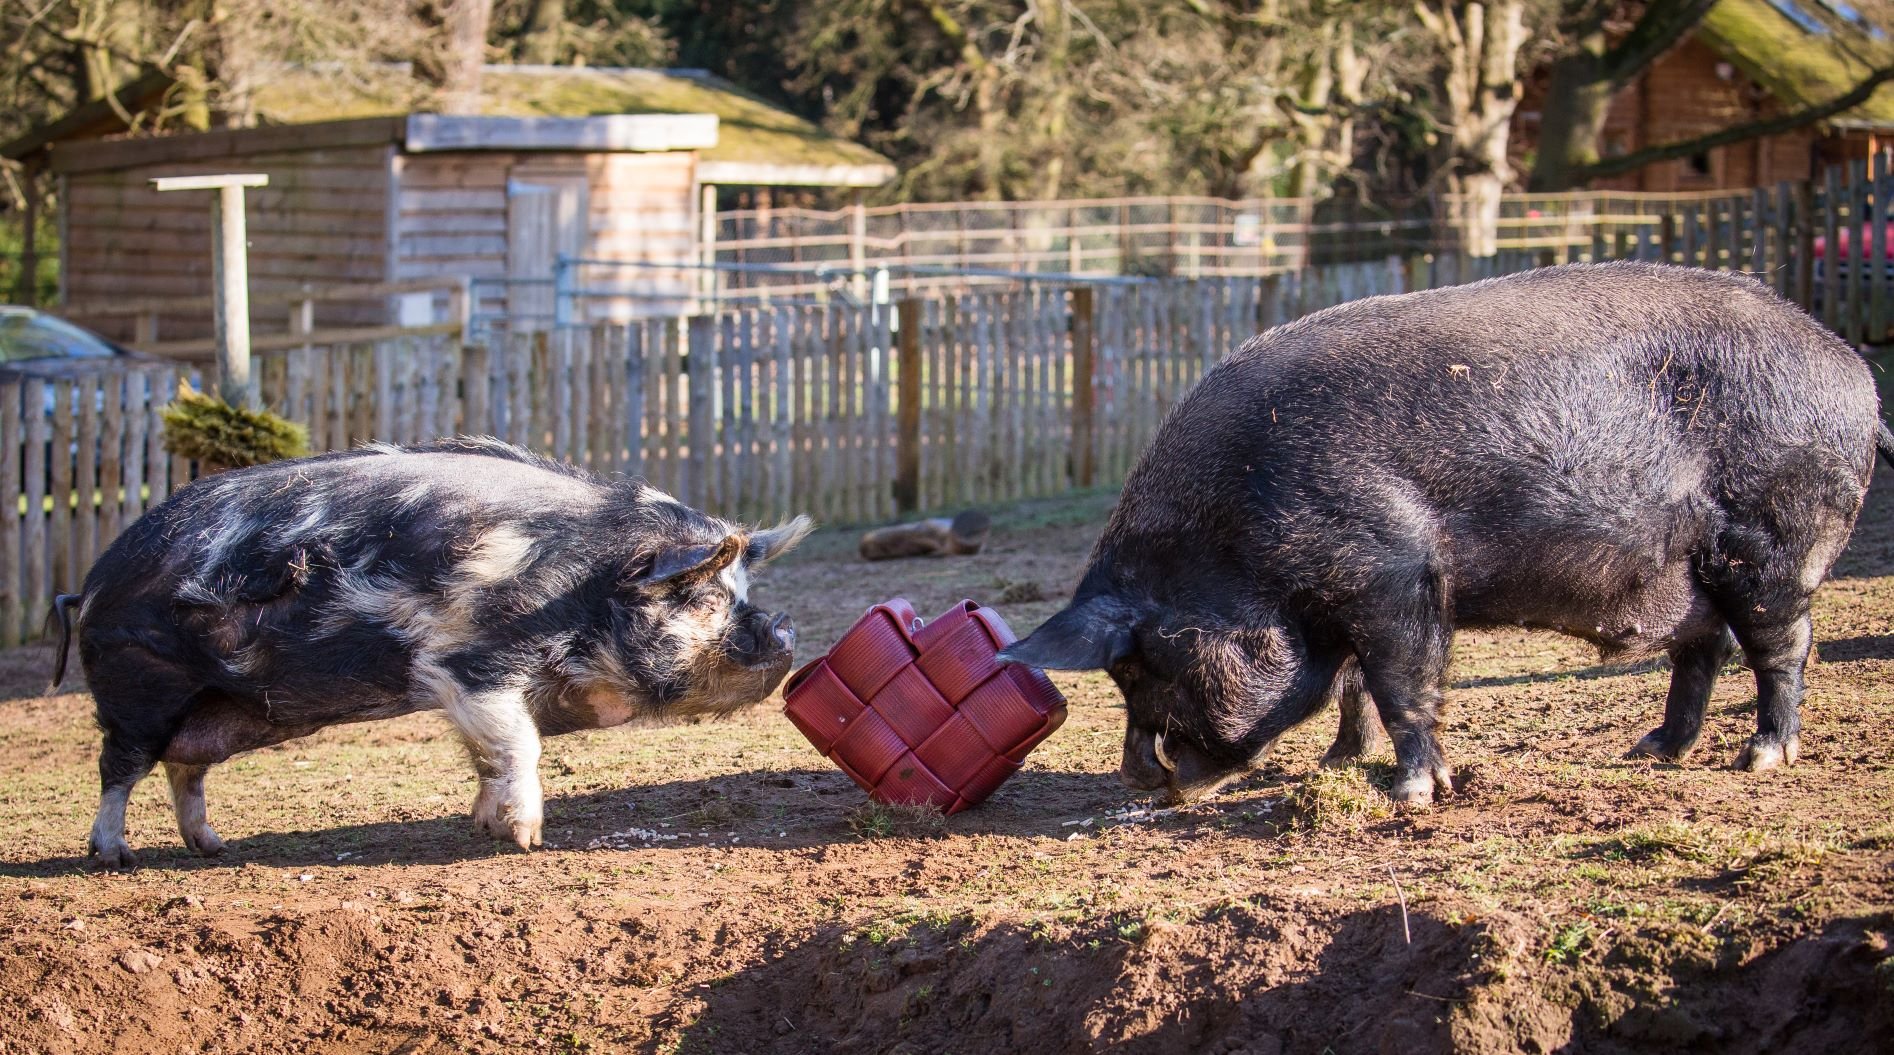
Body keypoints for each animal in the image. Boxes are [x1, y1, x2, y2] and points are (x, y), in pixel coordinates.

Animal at [51, 435, 806, 863]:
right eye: (700, 597)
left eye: (740, 588)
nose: (785, 629)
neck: (581, 588)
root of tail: (91, 582)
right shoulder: (470, 664)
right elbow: (519, 744)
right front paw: (525, 840)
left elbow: (488, 754)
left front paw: (485, 827)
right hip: (138, 685)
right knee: (119, 766)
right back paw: (112, 855)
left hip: (231, 711)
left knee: (186, 766)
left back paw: (211, 847)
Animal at [1000, 261, 1886, 806]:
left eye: (1139, 666)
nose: (1138, 781)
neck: (1233, 538)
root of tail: (1858, 379)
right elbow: (1353, 685)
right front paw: (1338, 765)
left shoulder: (1394, 570)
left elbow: (1400, 682)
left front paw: (1407, 793)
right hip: (1692, 570)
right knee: (1701, 650)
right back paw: (1654, 750)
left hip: (1777, 536)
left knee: (1782, 645)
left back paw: (1762, 756)